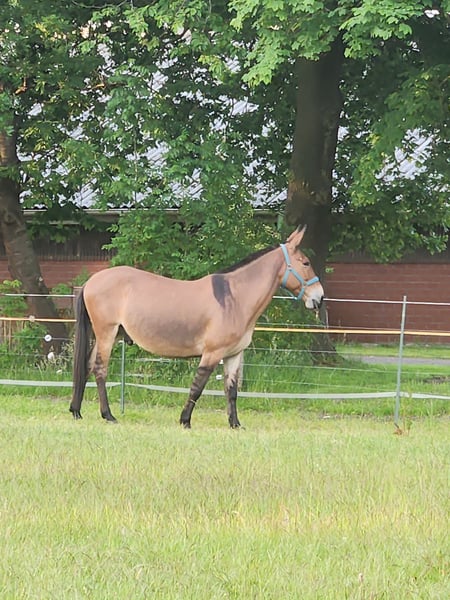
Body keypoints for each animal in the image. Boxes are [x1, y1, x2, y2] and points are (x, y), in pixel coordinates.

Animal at [70, 226, 324, 428]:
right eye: (306, 263)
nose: (319, 297)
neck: (233, 299)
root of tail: (91, 282)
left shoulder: (233, 355)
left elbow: (232, 391)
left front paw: (235, 424)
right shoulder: (212, 353)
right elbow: (197, 387)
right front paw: (185, 421)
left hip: (104, 334)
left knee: (87, 365)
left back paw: (77, 411)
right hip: (107, 333)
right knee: (100, 369)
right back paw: (108, 415)